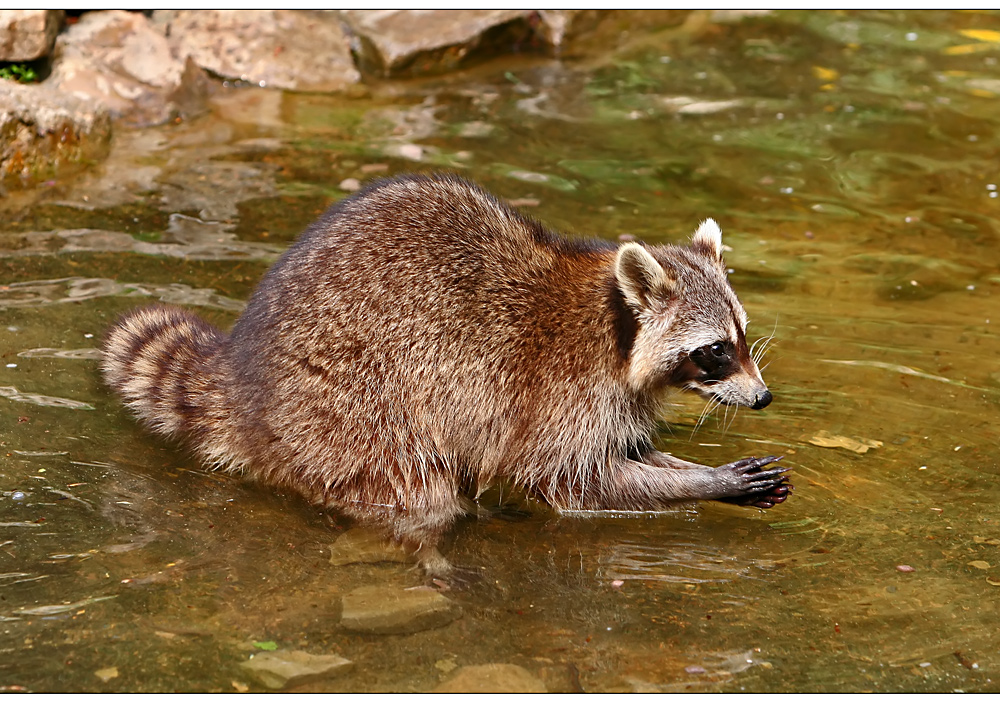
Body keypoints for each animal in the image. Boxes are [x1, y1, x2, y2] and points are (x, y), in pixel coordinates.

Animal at [101, 175, 788, 576]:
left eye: (741, 336)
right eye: (715, 352)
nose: (763, 398)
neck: (612, 322)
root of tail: (243, 379)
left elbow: (629, 452)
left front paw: (692, 470)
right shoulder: (561, 392)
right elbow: (577, 483)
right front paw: (707, 483)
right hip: (354, 407)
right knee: (417, 494)